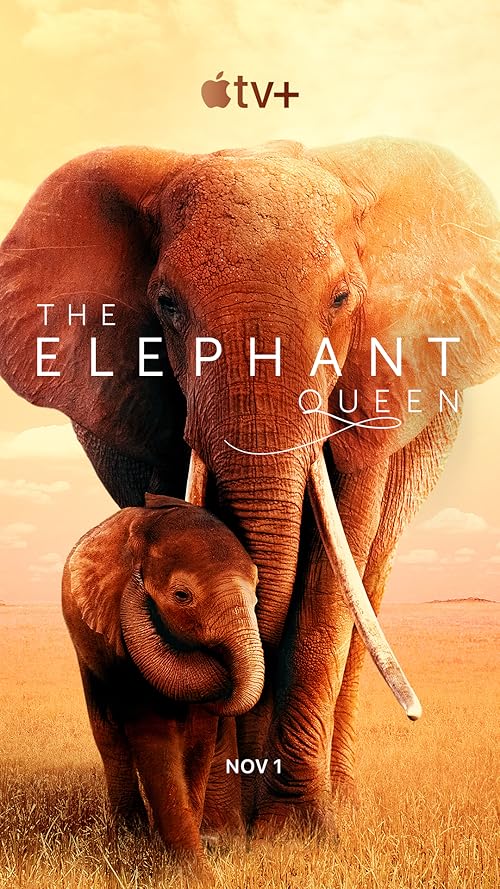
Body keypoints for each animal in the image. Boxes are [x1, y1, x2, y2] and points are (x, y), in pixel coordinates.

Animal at [62, 493, 264, 862]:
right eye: (182, 596)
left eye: (256, 593)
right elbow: (151, 728)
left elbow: (199, 738)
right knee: (109, 735)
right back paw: (128, 835)